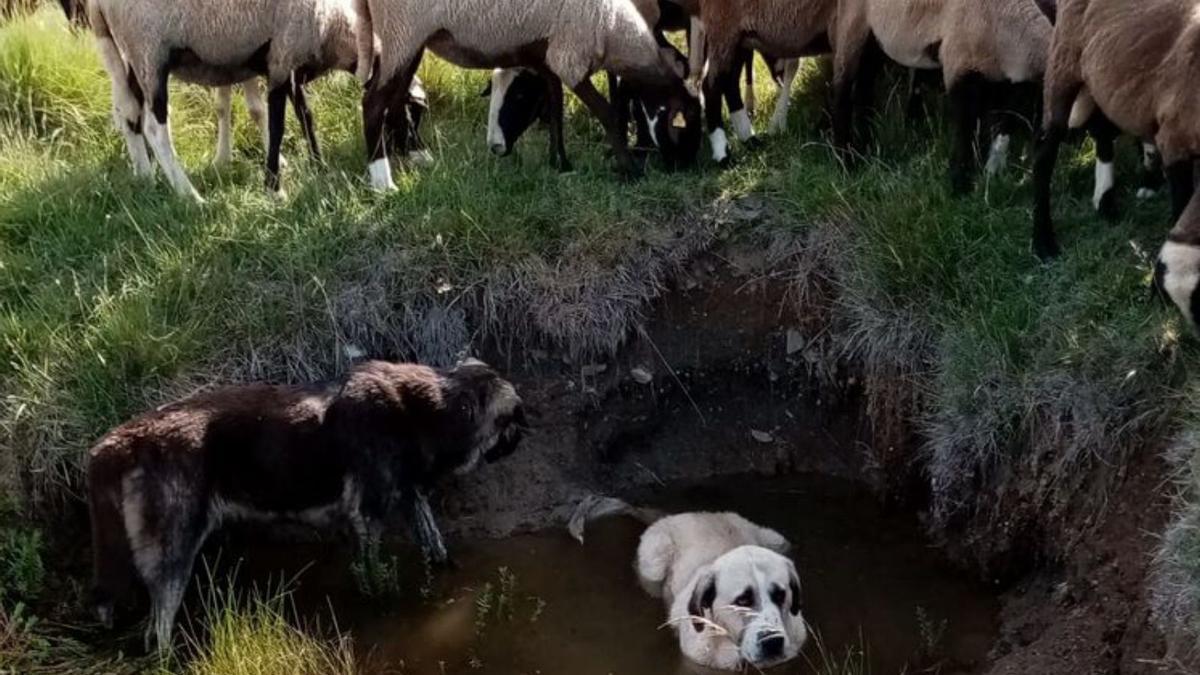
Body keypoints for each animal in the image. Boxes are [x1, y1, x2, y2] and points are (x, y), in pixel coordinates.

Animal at [88, 357, 525, 648]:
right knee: (157, 632)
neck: (420, 410)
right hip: (172, 557)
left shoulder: (411, 501)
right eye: (515, 421)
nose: (523, 437)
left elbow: (438, 552)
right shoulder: (366, 520)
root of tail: (117, 442)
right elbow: (377, 581)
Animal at [350, 0, 700, 186]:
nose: (686, 166)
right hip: (402, 32)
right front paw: (630, 170)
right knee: (373, 102)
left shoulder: (549, 57)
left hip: (409, 41)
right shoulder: (570, 56)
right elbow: (608, 113)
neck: (616, 33)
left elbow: (556, 106)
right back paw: (383, 181)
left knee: (395, 99)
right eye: (686, 122)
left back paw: (414, 155)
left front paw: (560, 163)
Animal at [568, 494, 806, 667]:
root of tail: (683, 514)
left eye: (781, 595)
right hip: (655, 561)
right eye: (742, 600)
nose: (773, 642)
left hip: (777, 540)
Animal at [830, 0, 1056, 192]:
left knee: (864, 87)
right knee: (842, 85)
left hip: (875, 38)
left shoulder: (999, 78)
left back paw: (865, 147)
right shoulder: (958, 62)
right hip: (854, 20)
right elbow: (965, 126)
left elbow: (1002, 121)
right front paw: (960, 185)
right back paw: (845, 161)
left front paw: (991, 171)